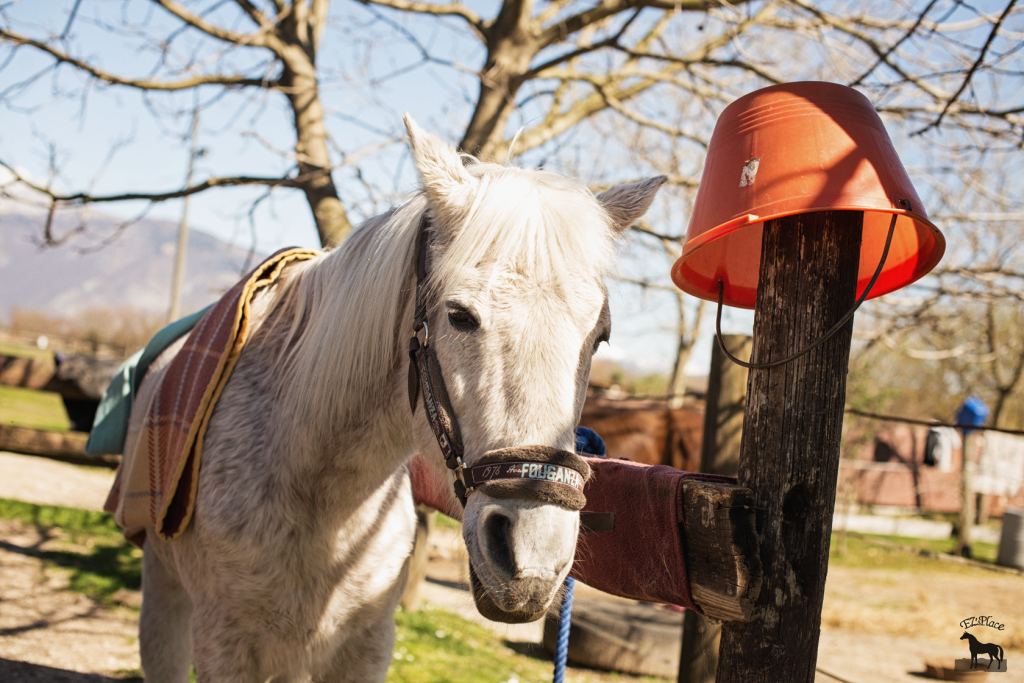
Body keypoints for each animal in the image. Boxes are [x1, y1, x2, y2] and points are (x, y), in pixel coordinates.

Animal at [130, 114, 663, 679]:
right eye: (459, 316)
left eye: (600, 335)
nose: (532, 555)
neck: (318, 487)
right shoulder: (223, 642)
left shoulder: (365, 644)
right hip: (164, 596)